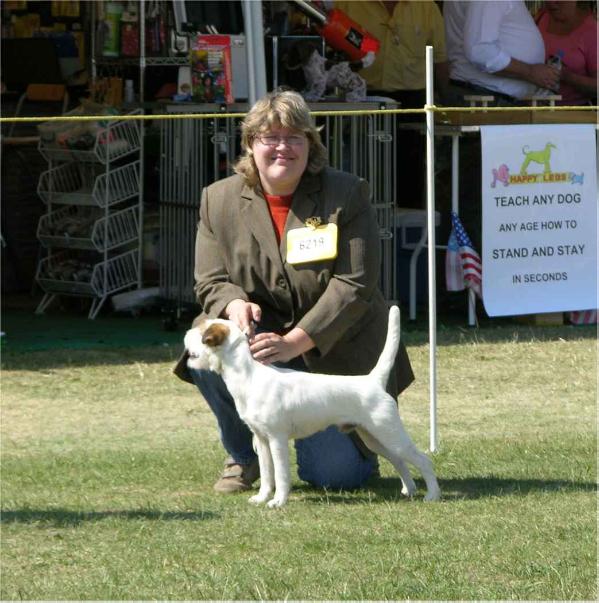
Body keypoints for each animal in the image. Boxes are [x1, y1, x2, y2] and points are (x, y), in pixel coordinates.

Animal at [185, 306, 442, 510]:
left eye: (201, 333)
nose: (187, 333)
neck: (248, 375)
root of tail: (372, 381)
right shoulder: (262, 439)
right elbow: (267, 475)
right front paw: (261, 498)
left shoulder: (277, 439)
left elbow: (281, 474)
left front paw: (278, 501)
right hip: (374, 437)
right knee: (399, 461)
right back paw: (408, 490)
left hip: (389, 433)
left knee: (422, 460)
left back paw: (432, 495)